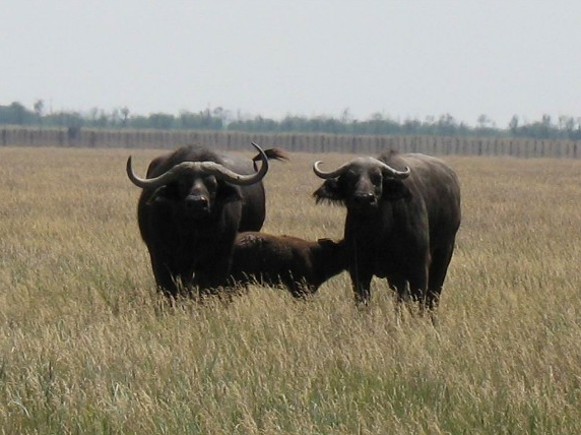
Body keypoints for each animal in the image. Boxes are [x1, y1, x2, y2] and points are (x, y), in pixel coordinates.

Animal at [129, 143, 288, 300]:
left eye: (213, 183)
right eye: (182, 183)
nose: (197, 203)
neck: (193, 233)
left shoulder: (219, 257)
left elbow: (209, 285)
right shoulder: (161, 255)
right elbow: (169, 286)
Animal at [312, 152, 462, 308]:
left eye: (377, 178)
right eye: (349, 178)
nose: (364, 198)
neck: (379, 233)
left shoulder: (419, 267)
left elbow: (420, 298)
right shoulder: (360, 269)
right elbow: (364, 301)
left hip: (444, 252)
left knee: (433, 294)